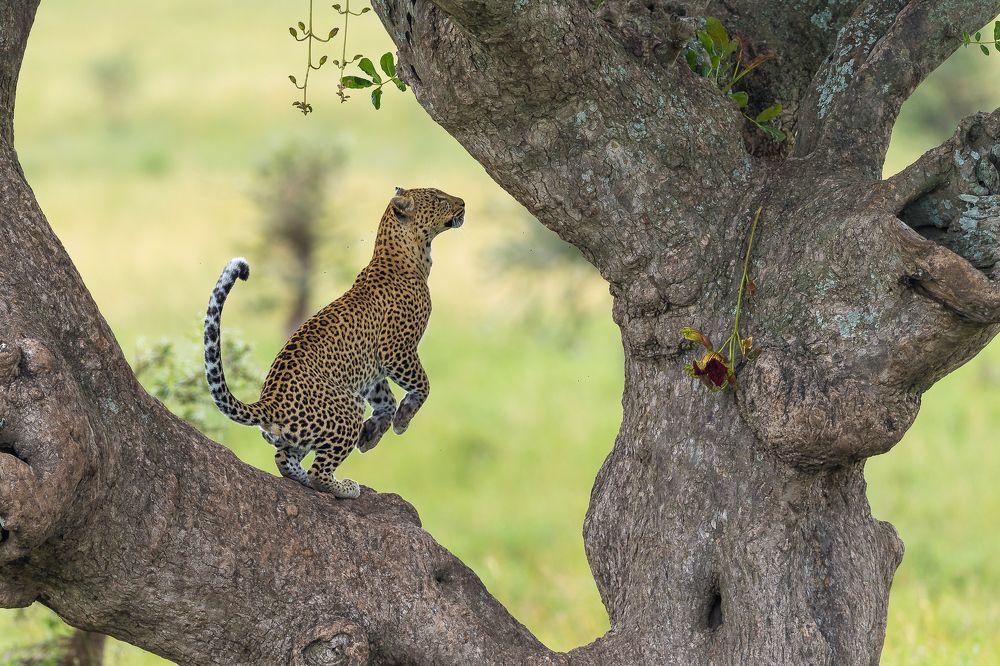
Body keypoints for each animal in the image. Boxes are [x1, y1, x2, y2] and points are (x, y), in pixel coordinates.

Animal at [203, 186, 465, 498]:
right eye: (438, 199)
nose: (463, 203)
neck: (411, 255)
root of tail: (269, 403)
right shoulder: (395, 350)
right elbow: (423, 385)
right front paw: (403, 420)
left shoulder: (372, 368)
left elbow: (386, 400)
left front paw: (372, 434)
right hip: (349, 406)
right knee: (318, 471)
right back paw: (345, 487)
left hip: (306, 430)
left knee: (283, 458)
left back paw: (305, 478)